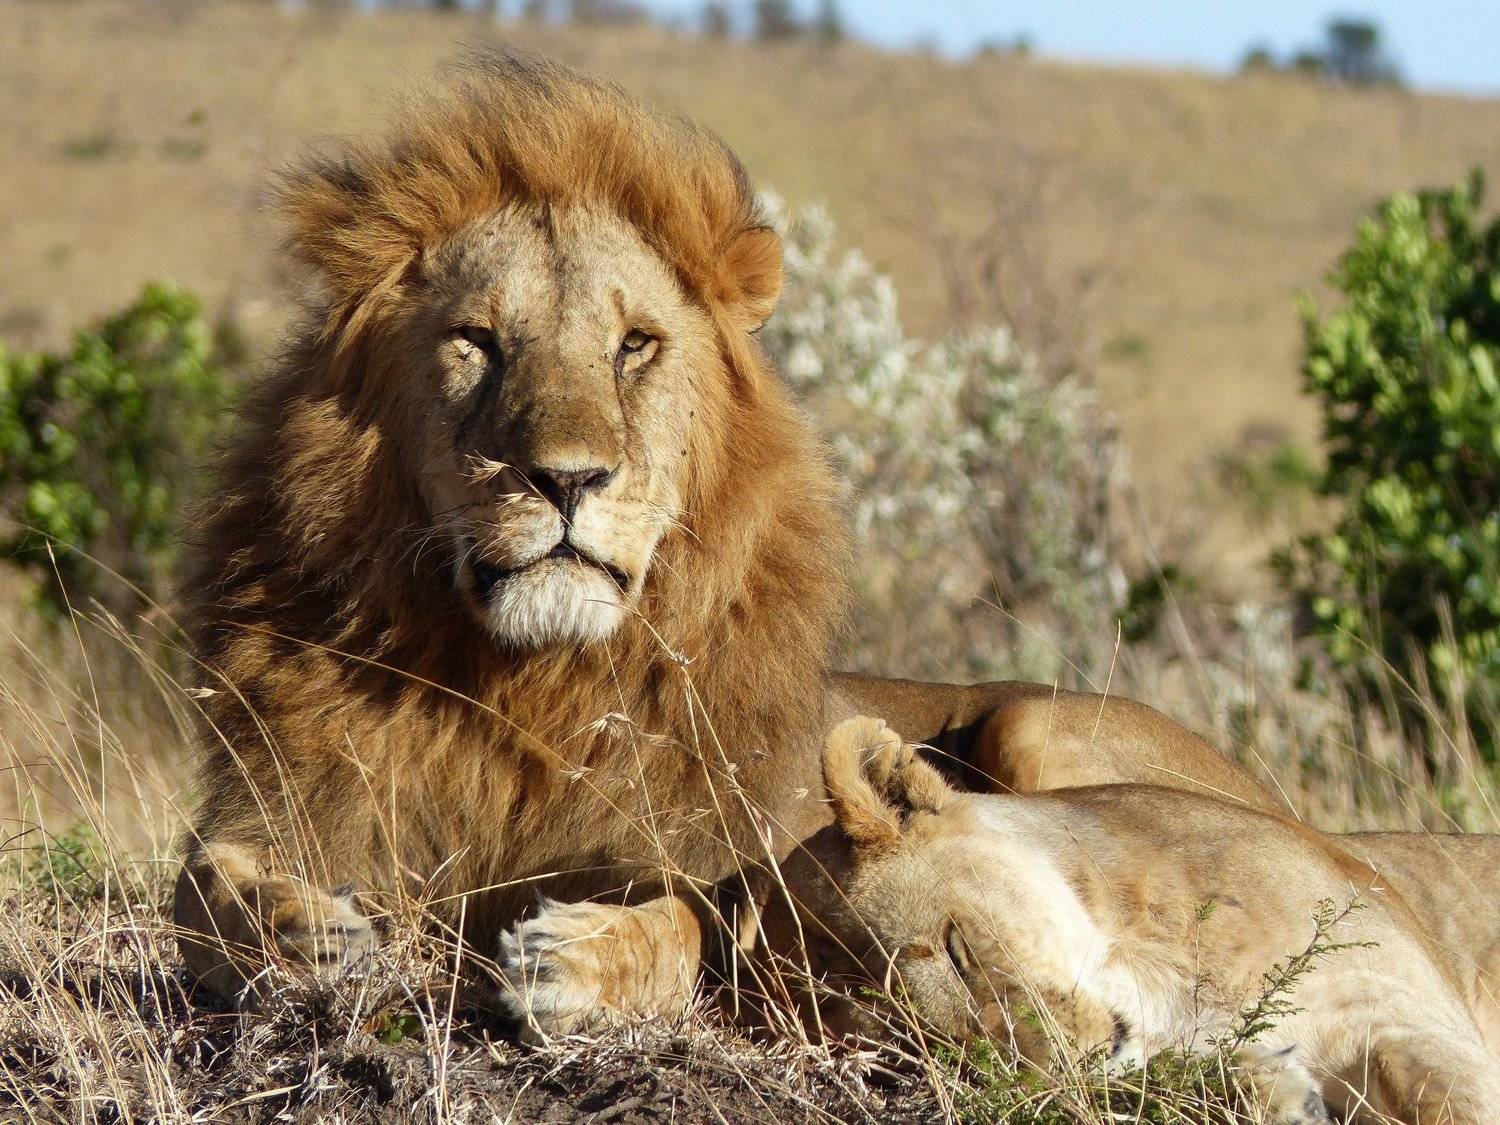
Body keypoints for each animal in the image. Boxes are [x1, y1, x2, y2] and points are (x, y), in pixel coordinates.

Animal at [170, 50, 1490, 1043]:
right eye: (478, 342)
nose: (568, 478)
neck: (522, 691)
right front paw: (307, 931)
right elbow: (202, 893)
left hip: (1041, 721)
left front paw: (578, 958)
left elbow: (684, 924)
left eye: (635, 346)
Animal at [819, 718, 1500, 1125]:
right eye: (937, 1054)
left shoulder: (1411, 1016)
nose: (1073, 1066)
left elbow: (1440, 1094)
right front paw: (1275, 1089)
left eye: (957, 949)